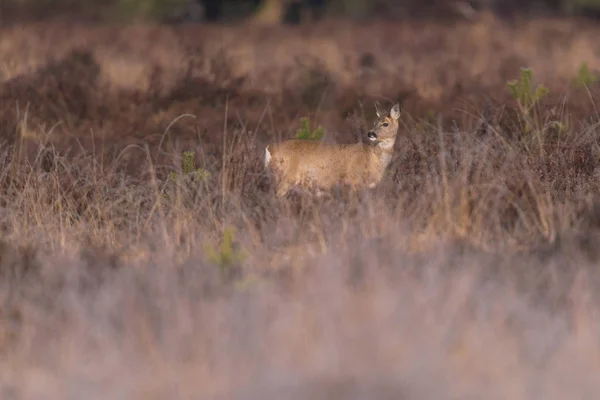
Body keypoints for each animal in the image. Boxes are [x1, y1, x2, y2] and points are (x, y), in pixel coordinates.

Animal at [264, 101, 400, 197]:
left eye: (385, 123)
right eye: (375, 122)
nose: (371, 134)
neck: (374, 159)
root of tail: (270, 148)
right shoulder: (354, 182)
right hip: (285, 177)